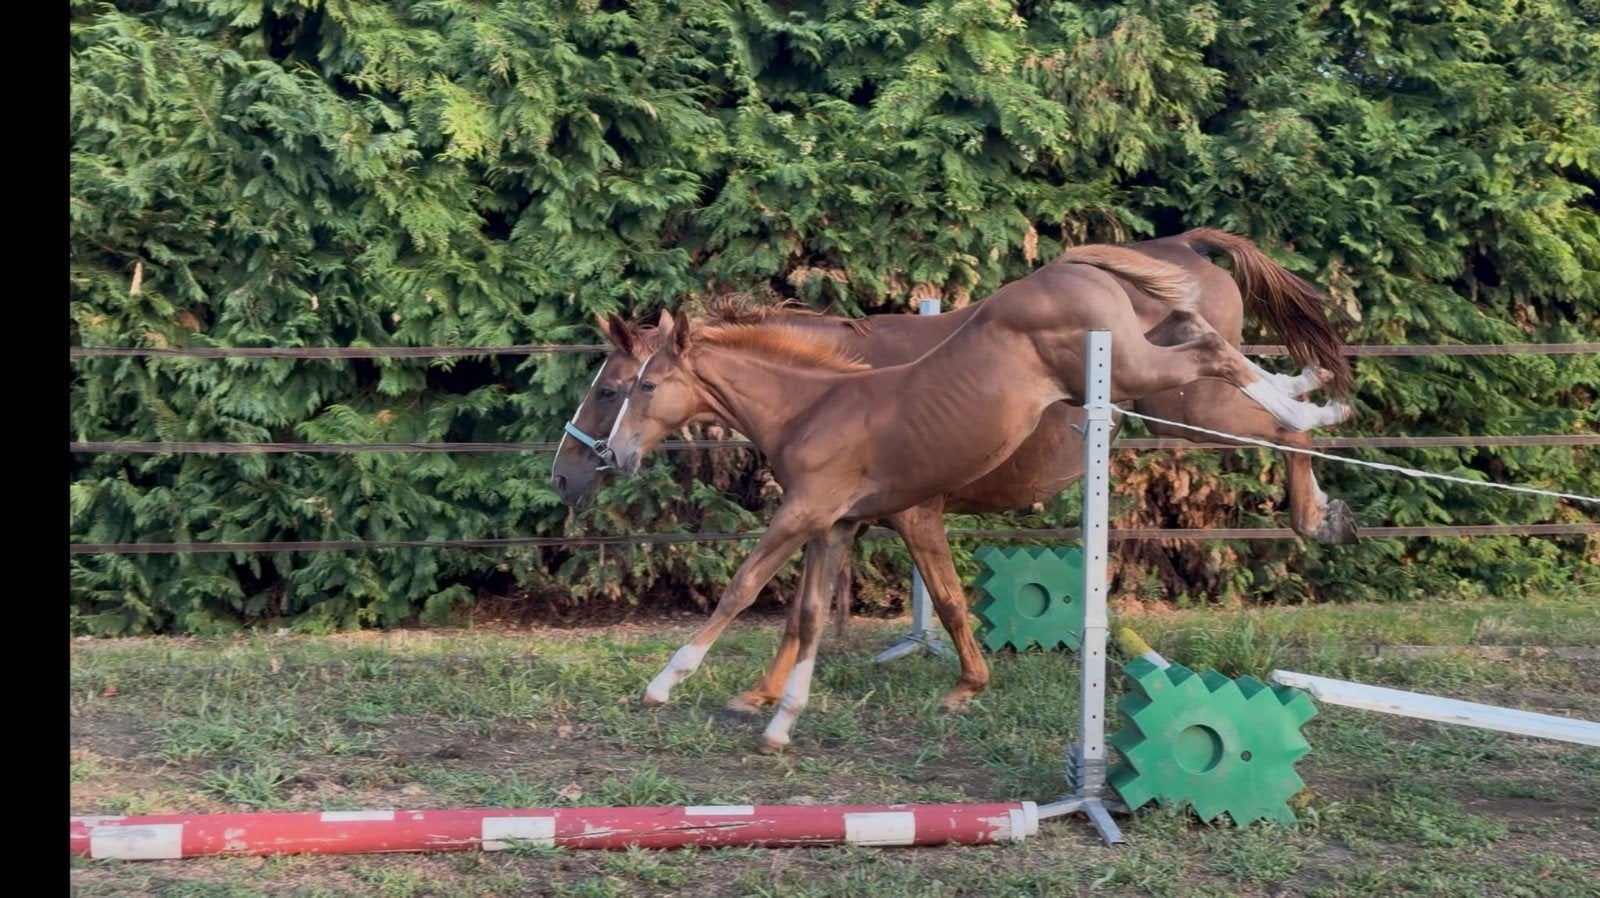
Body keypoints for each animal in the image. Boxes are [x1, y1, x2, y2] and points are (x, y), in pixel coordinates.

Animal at [598, 244, 1352, 748]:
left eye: (638, 385)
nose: (615, 456)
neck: (813, 405)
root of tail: (1074, 264)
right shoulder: (836, 526)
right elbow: (808, 615)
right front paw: (780, 717)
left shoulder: (806, 513)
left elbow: (743, 588)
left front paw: (666, 684)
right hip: (1139, 364)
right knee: (1204, 338)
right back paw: (1313, 398)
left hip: (1144, 376)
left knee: (1216, 356)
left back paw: (1316, 426)